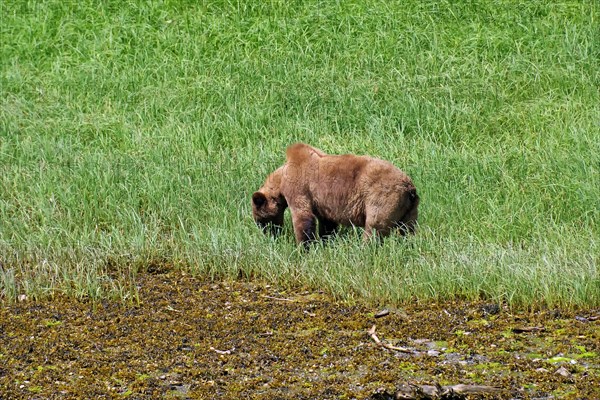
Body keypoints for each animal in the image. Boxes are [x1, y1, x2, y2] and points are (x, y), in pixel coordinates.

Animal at [251, 142, 420, 248]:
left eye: (261, 221)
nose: (269, 235)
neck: (280, 180)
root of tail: (409, 186)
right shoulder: (322, 204)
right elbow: (327, 223)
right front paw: (325, 240)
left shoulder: (299, 187)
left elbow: (303, 217)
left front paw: (303, 247)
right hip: (409, 207)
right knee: (408, 229)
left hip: (382, 195)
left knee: (374, 226)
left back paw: (364, 249)